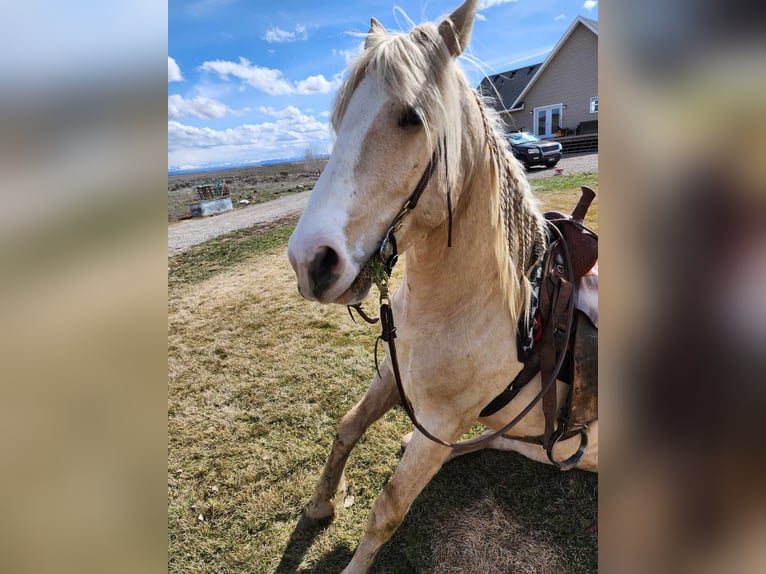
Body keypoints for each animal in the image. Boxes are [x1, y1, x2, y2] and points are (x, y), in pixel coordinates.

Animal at [288, 1, 600, 572]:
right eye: (339, 118)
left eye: (412, 117)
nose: (310, 262)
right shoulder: (393, 376)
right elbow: (346, 428)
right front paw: (320, 504)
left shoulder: (444, 419)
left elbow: (388, 508)